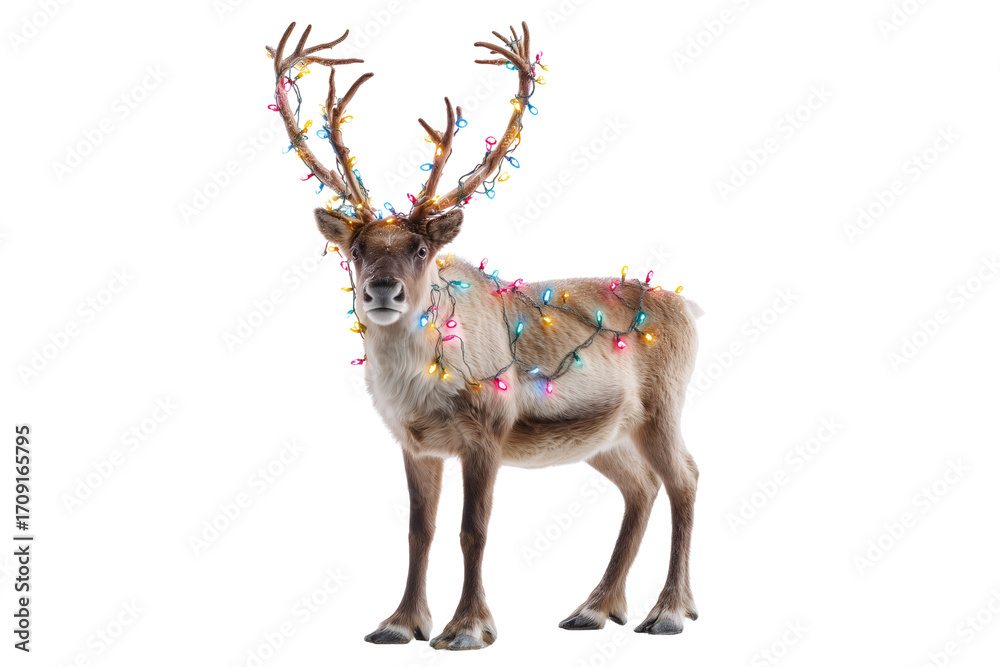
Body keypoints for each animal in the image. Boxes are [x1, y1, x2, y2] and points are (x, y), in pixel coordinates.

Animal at [266, 21, 703, 651]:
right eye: (357, 248)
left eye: (421, 248)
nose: (381, 290)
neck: (423, 383)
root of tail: (688, 306)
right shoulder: (416, 443)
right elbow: (419, 531)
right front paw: (400, 623)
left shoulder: (487, 433)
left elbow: (472, 529)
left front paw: (468, 626)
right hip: (607, 435)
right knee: (640, 488)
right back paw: (595, 608)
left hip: (662, 407)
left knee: (685, 479)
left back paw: (669, 611)